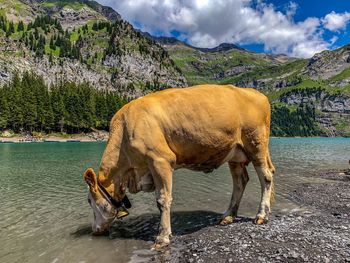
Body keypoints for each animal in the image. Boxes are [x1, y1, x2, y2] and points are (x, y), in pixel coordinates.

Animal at [83, 84, 274, 250]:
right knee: (240, 181)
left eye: (89, 201)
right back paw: (228, 216)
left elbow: (163, 200)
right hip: (235, 153)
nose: (94, 230)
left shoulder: (160, 160)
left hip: (256, 143)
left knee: (266, 176)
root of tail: (258, 94)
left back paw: (261, 215)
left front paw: (162, 237)